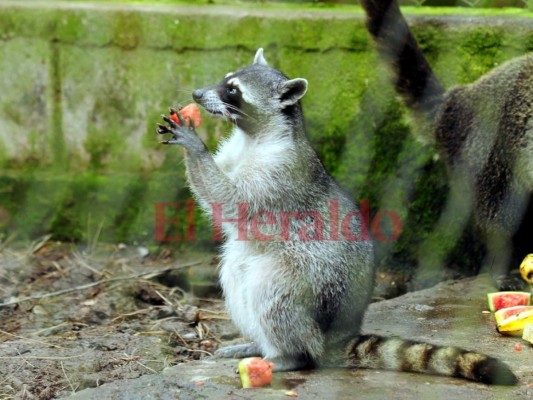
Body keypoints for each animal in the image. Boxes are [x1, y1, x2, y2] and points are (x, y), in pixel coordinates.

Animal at [157, 49, 516, 384]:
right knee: (236, 275)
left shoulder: (281, 171)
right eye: (225, 79)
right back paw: (258, 343)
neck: (253, 135)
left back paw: (289, 355)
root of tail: (336, 335)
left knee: (272, 293)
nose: (197, 95)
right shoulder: (236, 151)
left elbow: (231, 200)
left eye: (233, 90)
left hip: (310, 283)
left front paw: (195, 146)